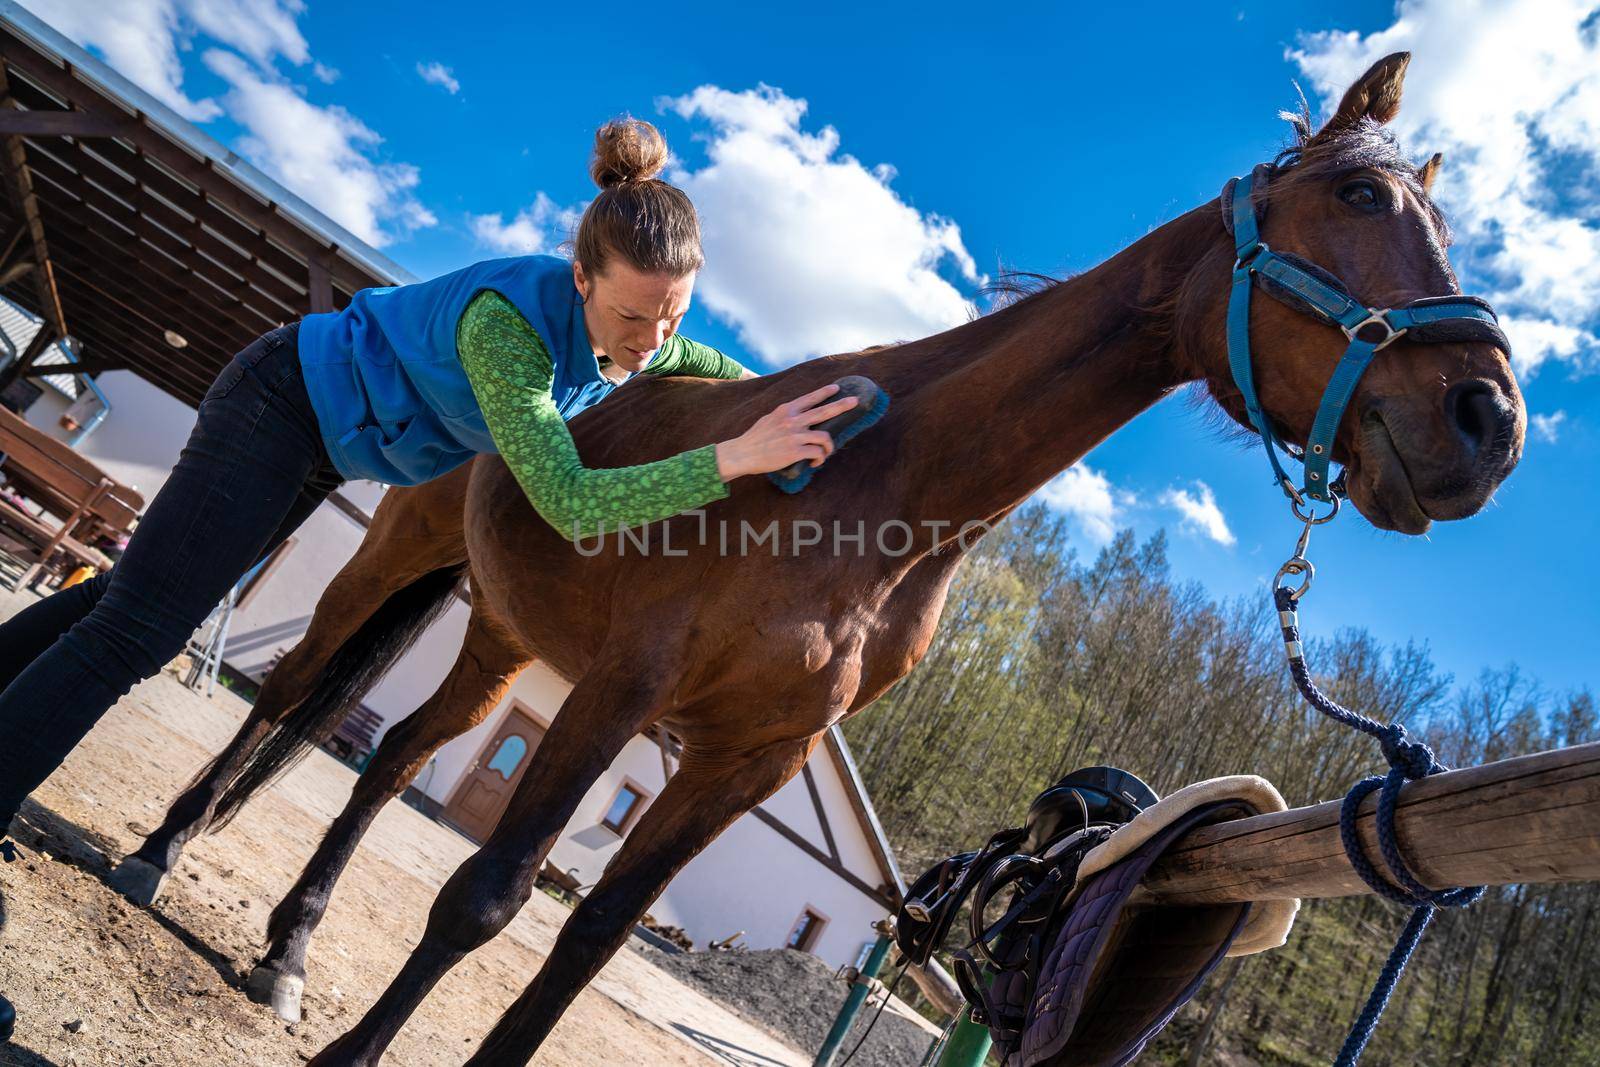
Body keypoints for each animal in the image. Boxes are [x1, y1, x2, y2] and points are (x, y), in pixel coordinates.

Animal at [116, 51, 1523, 1067]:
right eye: (1355, 196)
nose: (1486, 420)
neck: (876, 492)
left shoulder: (748, 757)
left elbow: (585, 939)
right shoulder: (618, 694)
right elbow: (487, 894)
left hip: (499, 632)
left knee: (392, 749)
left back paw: (288, 948)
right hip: (392, 567)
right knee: (295, 693)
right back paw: (157, 854)